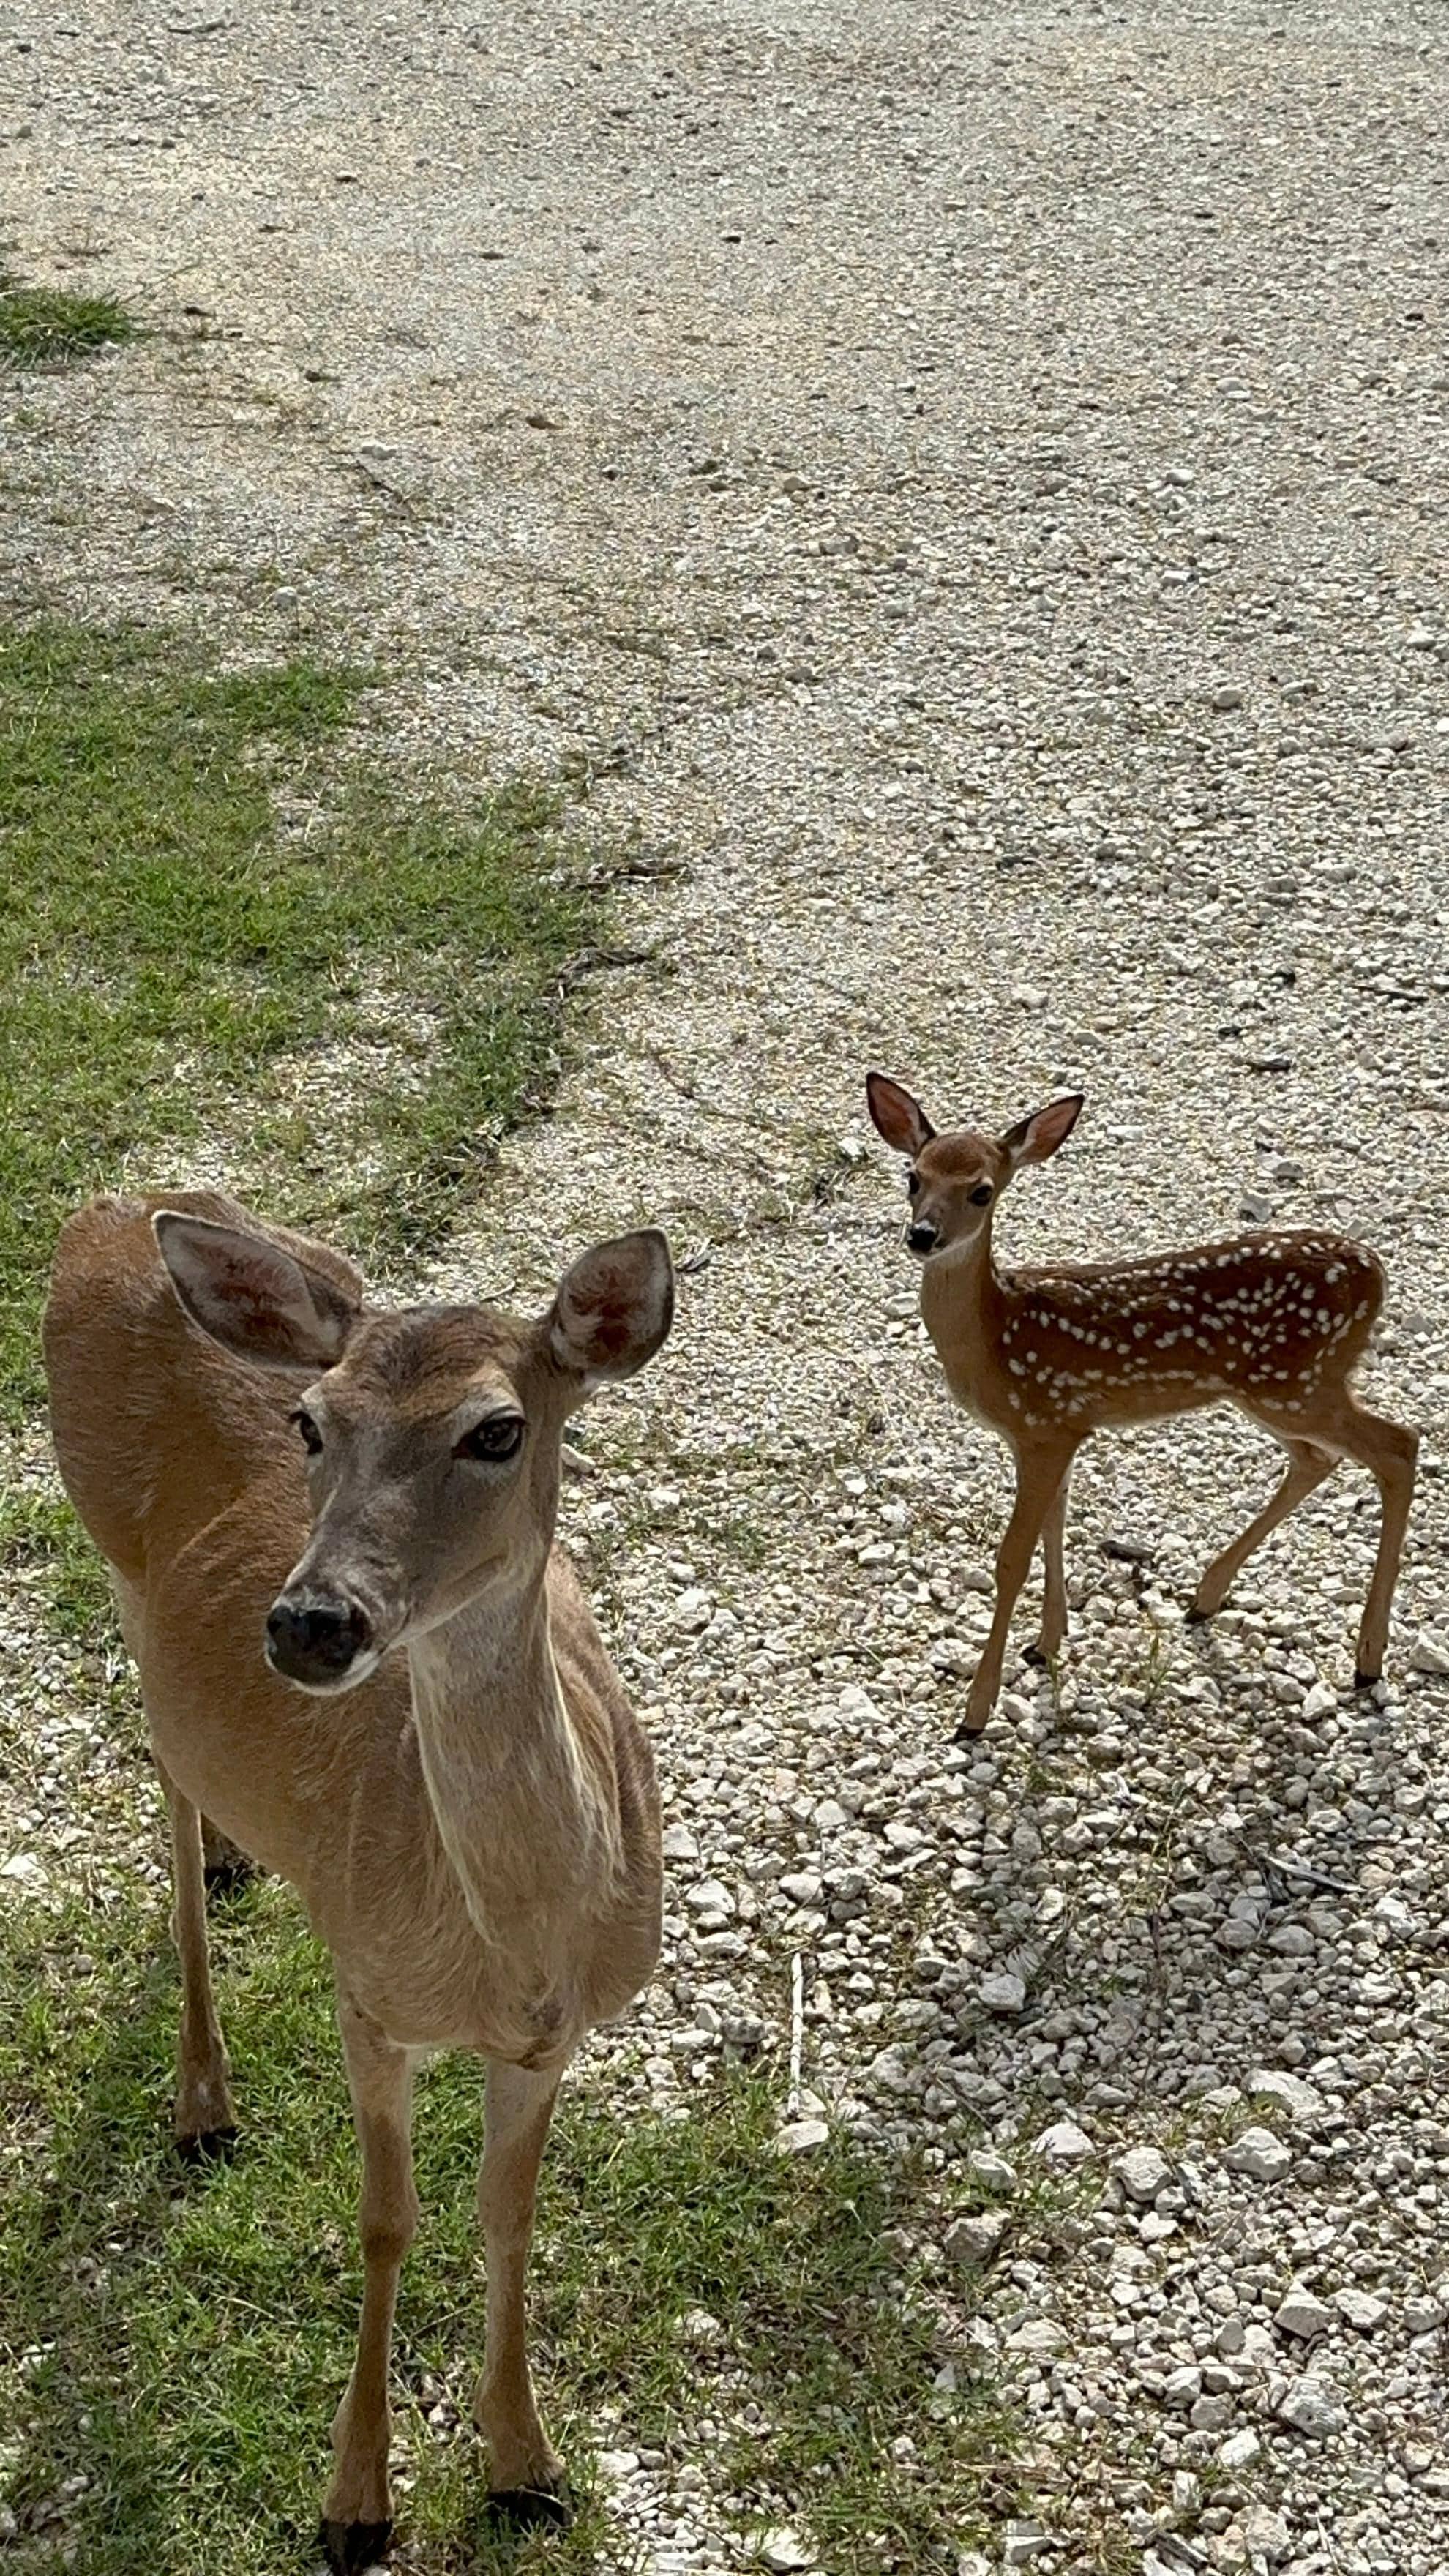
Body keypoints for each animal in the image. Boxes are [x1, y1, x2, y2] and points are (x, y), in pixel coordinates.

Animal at [43, 1189, 675, 2572]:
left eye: (499, 1428)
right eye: (310, 1425)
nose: (311, 1623)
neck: (512, 1947)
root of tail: (106, 1211)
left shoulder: (553, 2039)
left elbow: (506, 2217)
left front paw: (525, 2467)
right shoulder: (368, 1997)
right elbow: (388, 2219)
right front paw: (354, 2502)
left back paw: (239, 1858)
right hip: (112, 1559)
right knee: (166, 1780)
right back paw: (203, 2095)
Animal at [865, 1074, 1418, 1739]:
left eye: (981, 1191)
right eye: (912, 1177)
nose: (923, 1235)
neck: (997, 1334)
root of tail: (1377, 1272)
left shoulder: (1044, 1426)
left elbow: (1012, 1558)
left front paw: (977, 1709)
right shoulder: (1059, 1429)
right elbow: (1055, 1527)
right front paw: (1046, 1644)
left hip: (1298, 1383)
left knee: (1399, 1445)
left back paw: (1367, 1659)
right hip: (1273, 1390)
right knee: (1320, 1459)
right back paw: (1206, 1598)